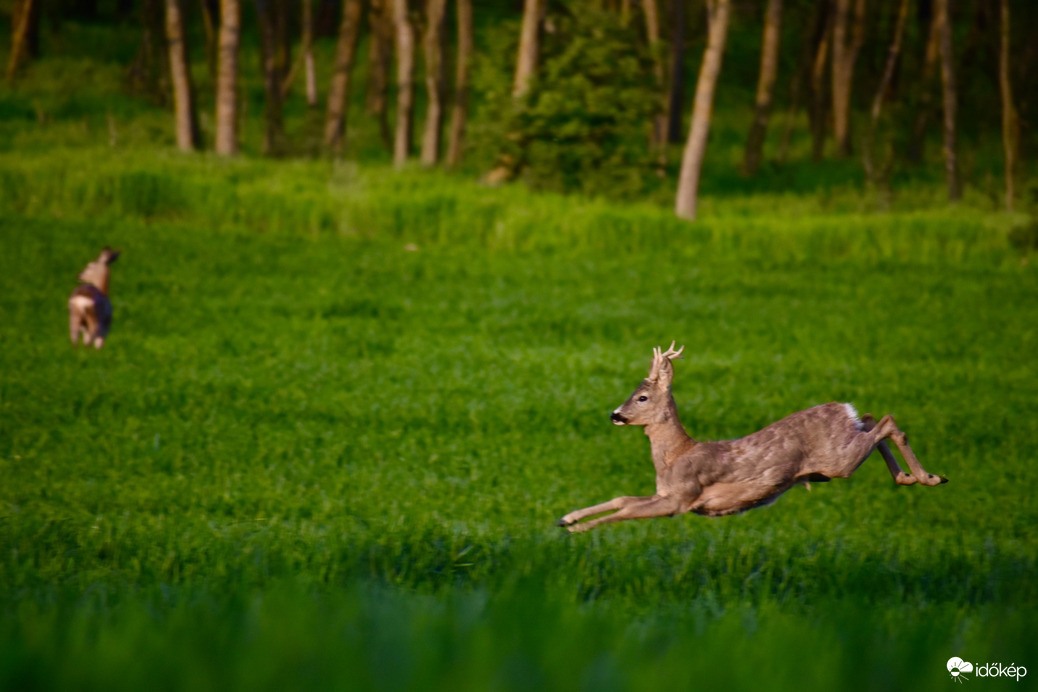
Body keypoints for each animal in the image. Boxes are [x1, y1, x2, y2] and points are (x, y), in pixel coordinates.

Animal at [560, 344, 950, 535]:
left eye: (642, 397)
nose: (615, 414)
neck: (675, 456)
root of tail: (844, 409)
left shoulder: (681, 498)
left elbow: (626, 510)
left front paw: (579, 530)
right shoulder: (665, 493)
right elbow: (622, 498)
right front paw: (567, 518)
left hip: (838, 461)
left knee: (886, 421)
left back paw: (929, 477)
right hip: (843, 449)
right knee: (871, 419)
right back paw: (908, 476)